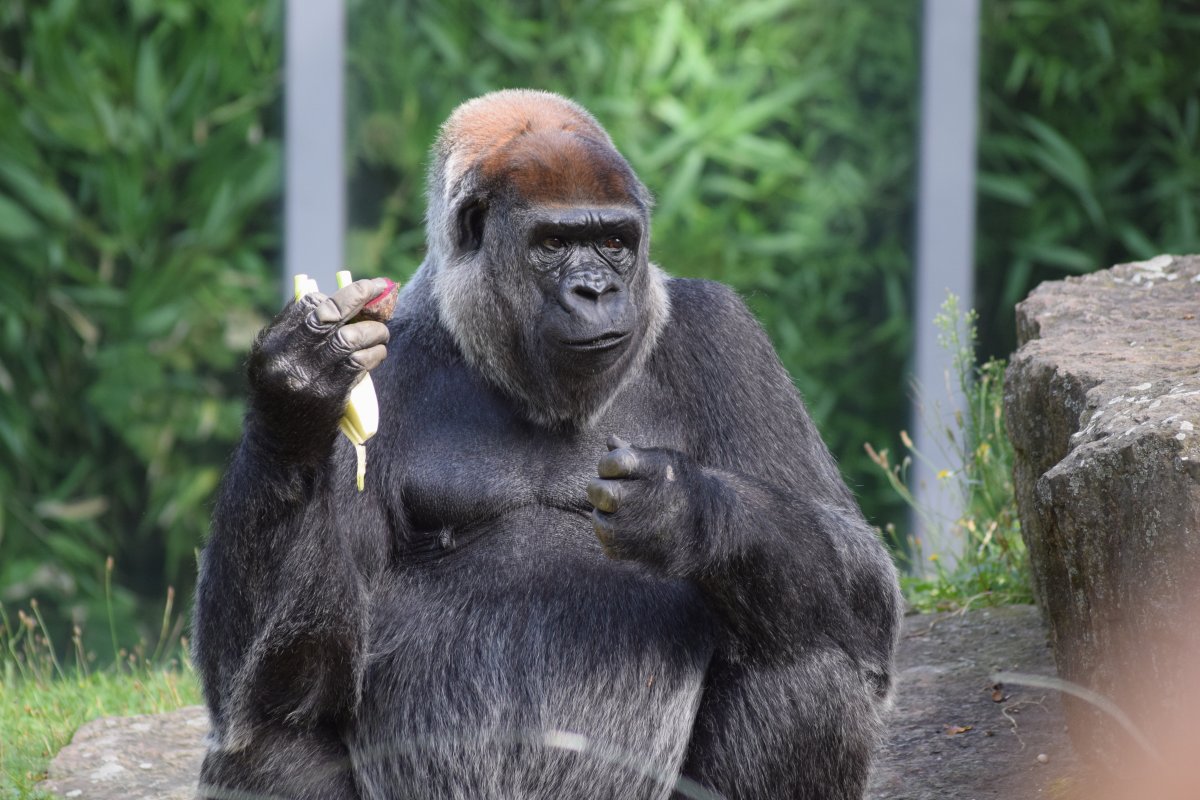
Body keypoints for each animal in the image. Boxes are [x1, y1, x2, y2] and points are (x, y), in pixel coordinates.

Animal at [192, 89, 897, 800]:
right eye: (554, 243)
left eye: (614, 242)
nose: (597, 290)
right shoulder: (379, 362)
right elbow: (283, 679)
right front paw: (295, 394)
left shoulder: (726, 335)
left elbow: (867, 587)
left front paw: (685, 509)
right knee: (266, 738)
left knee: (810, 662)